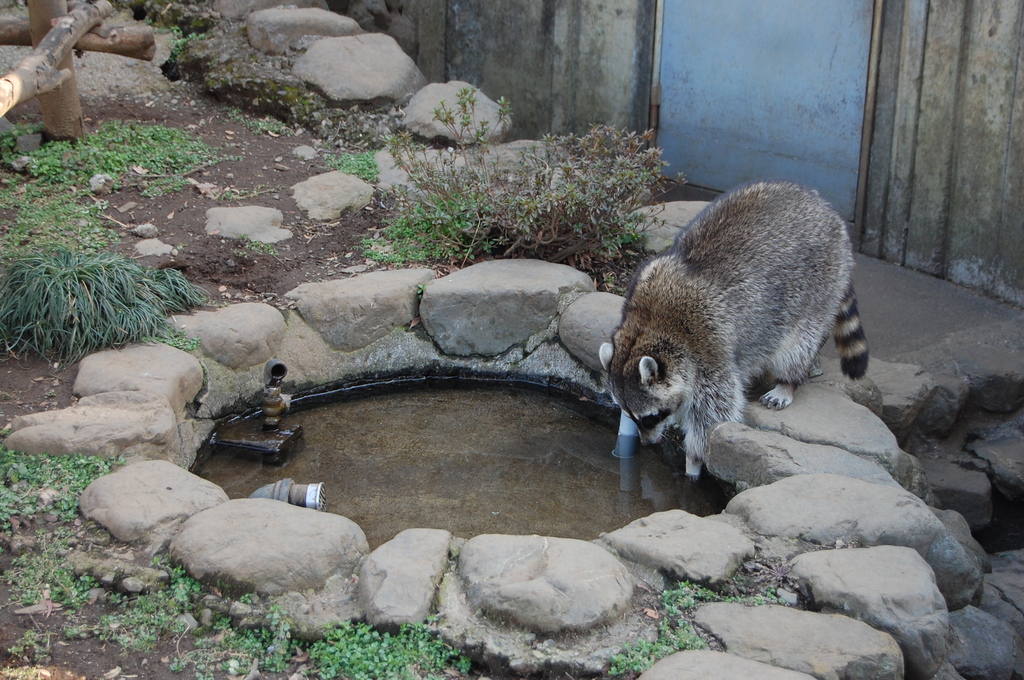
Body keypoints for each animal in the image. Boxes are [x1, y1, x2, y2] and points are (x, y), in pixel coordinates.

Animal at [598, 180, 872, 477]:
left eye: (650, 417)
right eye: (629, 415)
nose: (648, 443)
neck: (647, 327)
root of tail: (827, 210)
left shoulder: (708, 348)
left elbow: (715, 411)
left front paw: (694, 460)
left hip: (819, 282)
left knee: (798, 343)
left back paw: (788, 382)